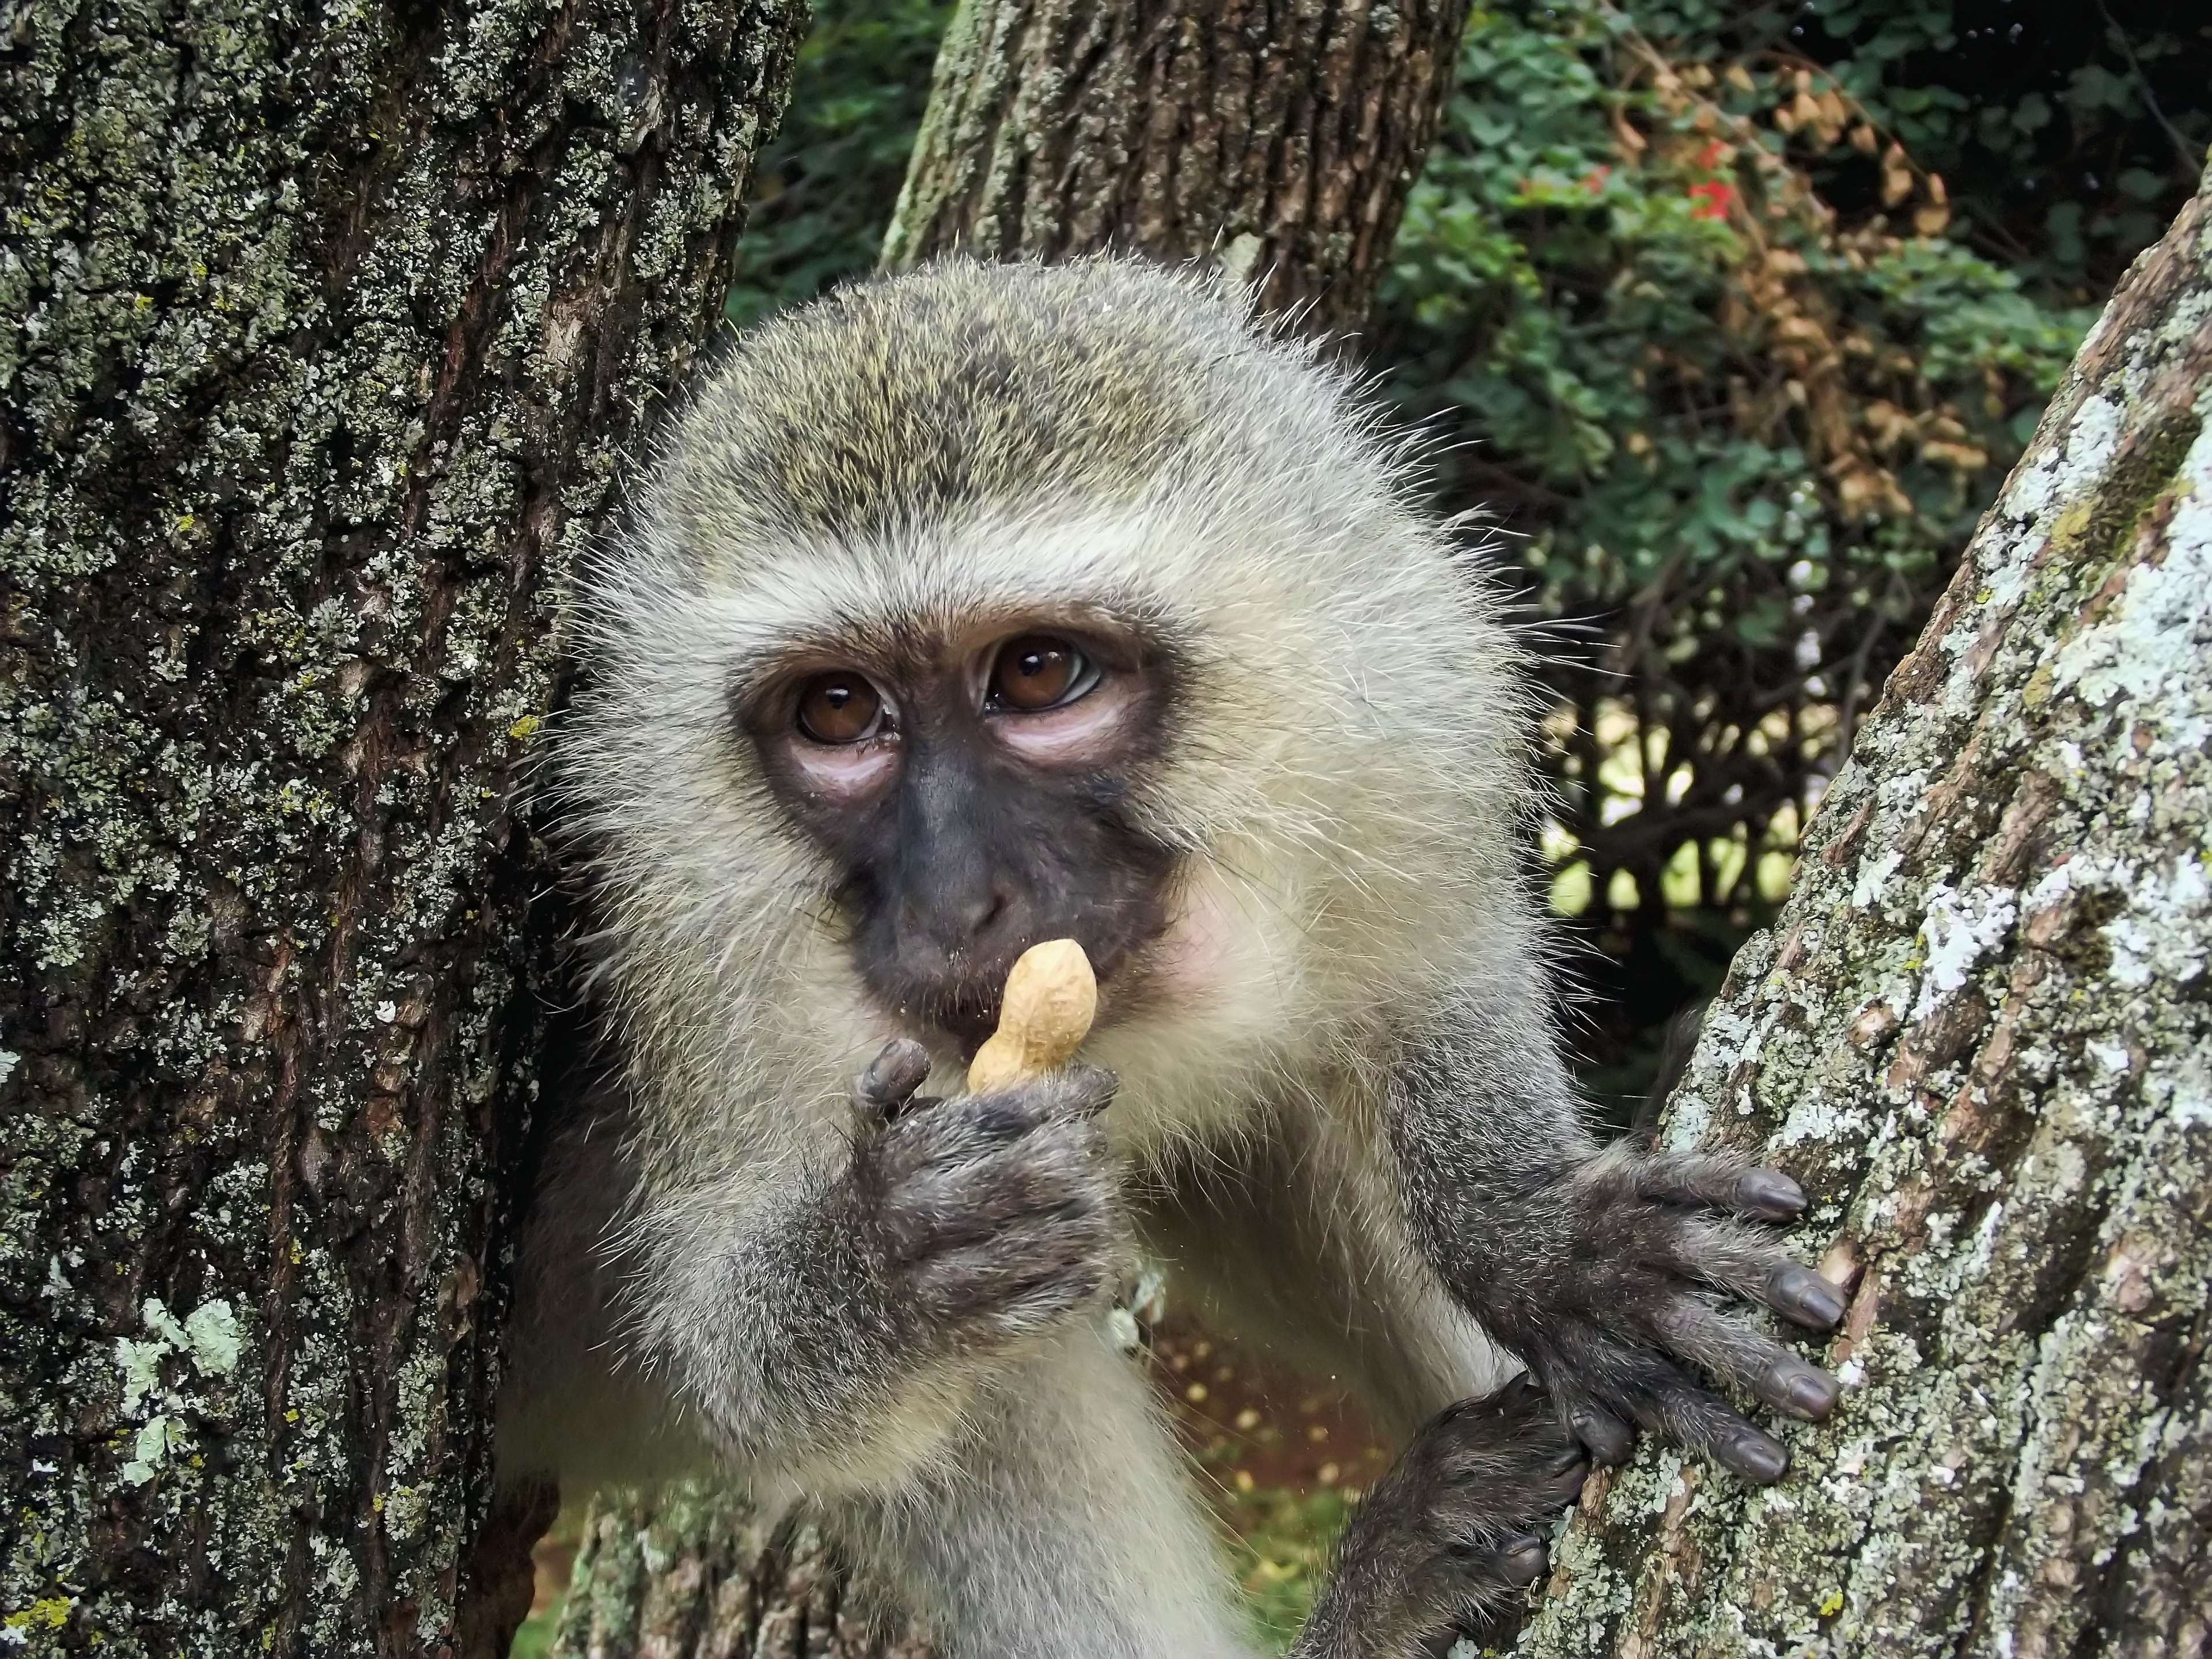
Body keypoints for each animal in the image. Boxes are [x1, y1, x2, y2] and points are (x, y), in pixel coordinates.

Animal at [496, 254, 1845, 1657]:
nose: (954, 904)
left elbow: (1434, 976)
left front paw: (1530, 1239)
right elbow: (735, 1360)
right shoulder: (697, 952)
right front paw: (882, 1264)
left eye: (1040, 673)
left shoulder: (1390, 723)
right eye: (836, 711)